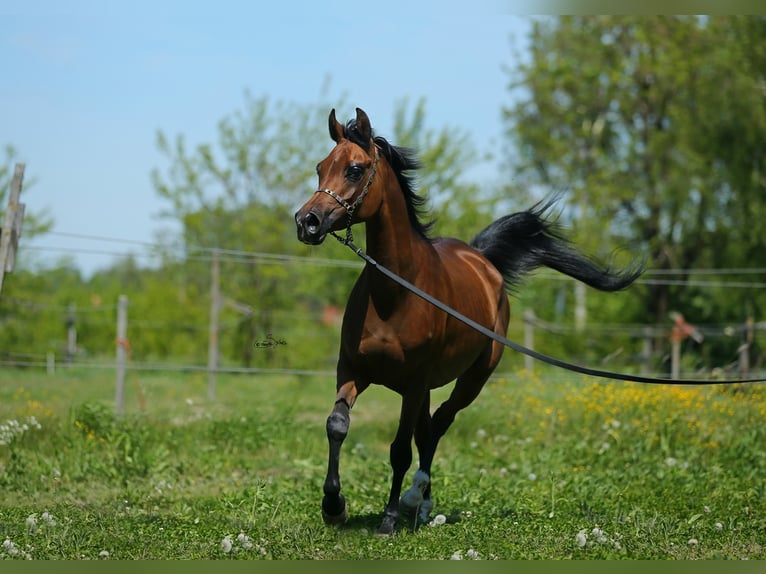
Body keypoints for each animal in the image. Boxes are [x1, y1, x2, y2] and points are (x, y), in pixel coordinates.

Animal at [294, 107, 640, 536]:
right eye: (320, 167)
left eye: (355, 170)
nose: (306, 221)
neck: (395, 293)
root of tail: (483, 260)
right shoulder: (353, 369)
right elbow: (337, 425)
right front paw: (333, 506)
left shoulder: (413, 383)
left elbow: (399, 450)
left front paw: (388, 519)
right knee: (427, 429)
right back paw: (419, 502)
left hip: (473, 378)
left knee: (437, 425)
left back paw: (415, 499)